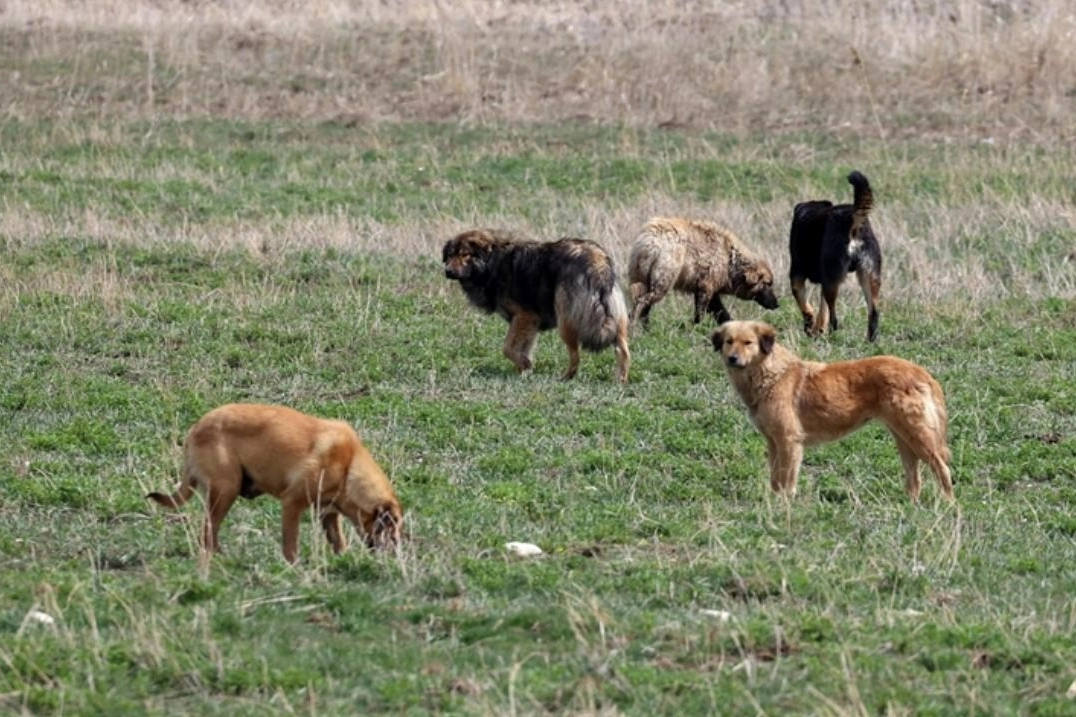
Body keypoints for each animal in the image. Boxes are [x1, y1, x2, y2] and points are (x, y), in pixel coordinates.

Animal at [147, 404, 404, 559]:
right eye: (392, 528)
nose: (397, 553)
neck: (349, 466)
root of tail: (195, 429)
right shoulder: (292, 503)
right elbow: (290, 544)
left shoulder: (328, 513)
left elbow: (338, 541)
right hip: (226, 490)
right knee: (208, 531)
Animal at [443, 230, 628, 385]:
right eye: (450, 255)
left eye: (465, 254)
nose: (448, 271)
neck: (493, 262)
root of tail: (597, 260)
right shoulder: (529, 323)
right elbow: (522, 349)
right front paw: (524, 372)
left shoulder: (524, 316)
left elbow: (507, 348)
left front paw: (526, 365)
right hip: (616, 320)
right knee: (623, 350)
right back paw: (621, 380)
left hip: (566, 322)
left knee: (576, 356)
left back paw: (566, 377)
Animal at [628, 216, 779, 327]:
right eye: (767, 284)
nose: (777, 304)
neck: (730, 262)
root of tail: (649, 239)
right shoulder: (706, 285)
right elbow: (701, 312)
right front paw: (696, 328)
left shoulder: (710, 287)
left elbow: (721, 312)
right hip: (665, 276)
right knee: (643, 300)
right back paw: (637, 325)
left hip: (641, 275)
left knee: (643, 302)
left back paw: (644, 327)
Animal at [714, 320, 951, 499]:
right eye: (728, 342)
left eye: (748, 343)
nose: (732, 358)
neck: (770, 374)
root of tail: (921, 373)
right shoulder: (773, 442)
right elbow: (775, 479)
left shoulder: (789, 441)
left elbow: (787, 480)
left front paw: (785, 505)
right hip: (903, 438)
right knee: (915, 478)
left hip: (918, 436)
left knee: (943, 469)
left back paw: (947, 504)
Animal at [791, 172, 882, 342]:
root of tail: (853, 219)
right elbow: (822, 312)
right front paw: (817, 330)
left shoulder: (796, 274)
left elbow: (805, 305)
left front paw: (810, 326)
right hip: (869, 276)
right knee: (873, 313)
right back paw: (869, 342)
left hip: (832, 279)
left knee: (834, 317)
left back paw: (833, 336)